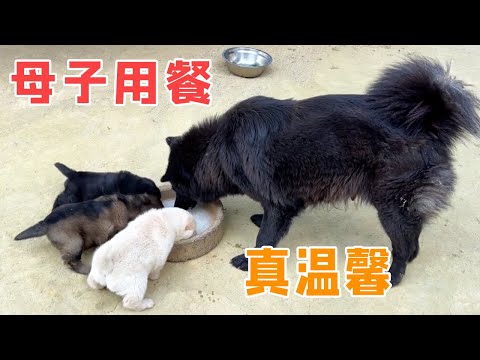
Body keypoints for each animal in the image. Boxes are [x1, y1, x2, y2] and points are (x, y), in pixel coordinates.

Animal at [14, 194, 164, 272]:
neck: (127, 204)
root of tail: (45, 223)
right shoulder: (113, 229)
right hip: (75, 242)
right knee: (70, 261)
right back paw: (86, 270)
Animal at [161, 57, 480, 286]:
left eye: (178, 188)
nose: (178, 208)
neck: (221, 146)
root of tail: (427, 123)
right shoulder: (284, 203)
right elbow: (268, 222)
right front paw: (258, 220)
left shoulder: (279, 202)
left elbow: (265, 238)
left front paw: (249, 261)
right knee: (415, 230)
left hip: (390, 207)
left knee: (404, 241)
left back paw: (395, 272)